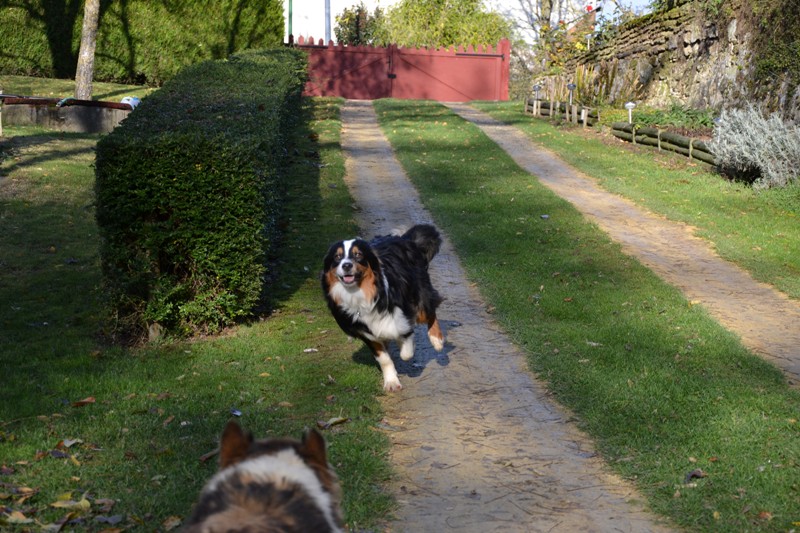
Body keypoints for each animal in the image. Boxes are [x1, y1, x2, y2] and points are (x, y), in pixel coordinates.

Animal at [320, 222, 444, 388]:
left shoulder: (402, 315)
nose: (346, 265)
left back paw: (437, 340)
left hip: (419, 294)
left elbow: (406, 350)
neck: (358, 293)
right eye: (337, 257)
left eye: (358, 255)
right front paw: (391, 381)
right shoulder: (365, 331)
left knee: (430, 310)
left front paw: (405, 344)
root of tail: (403, 239)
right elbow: (384, 358)